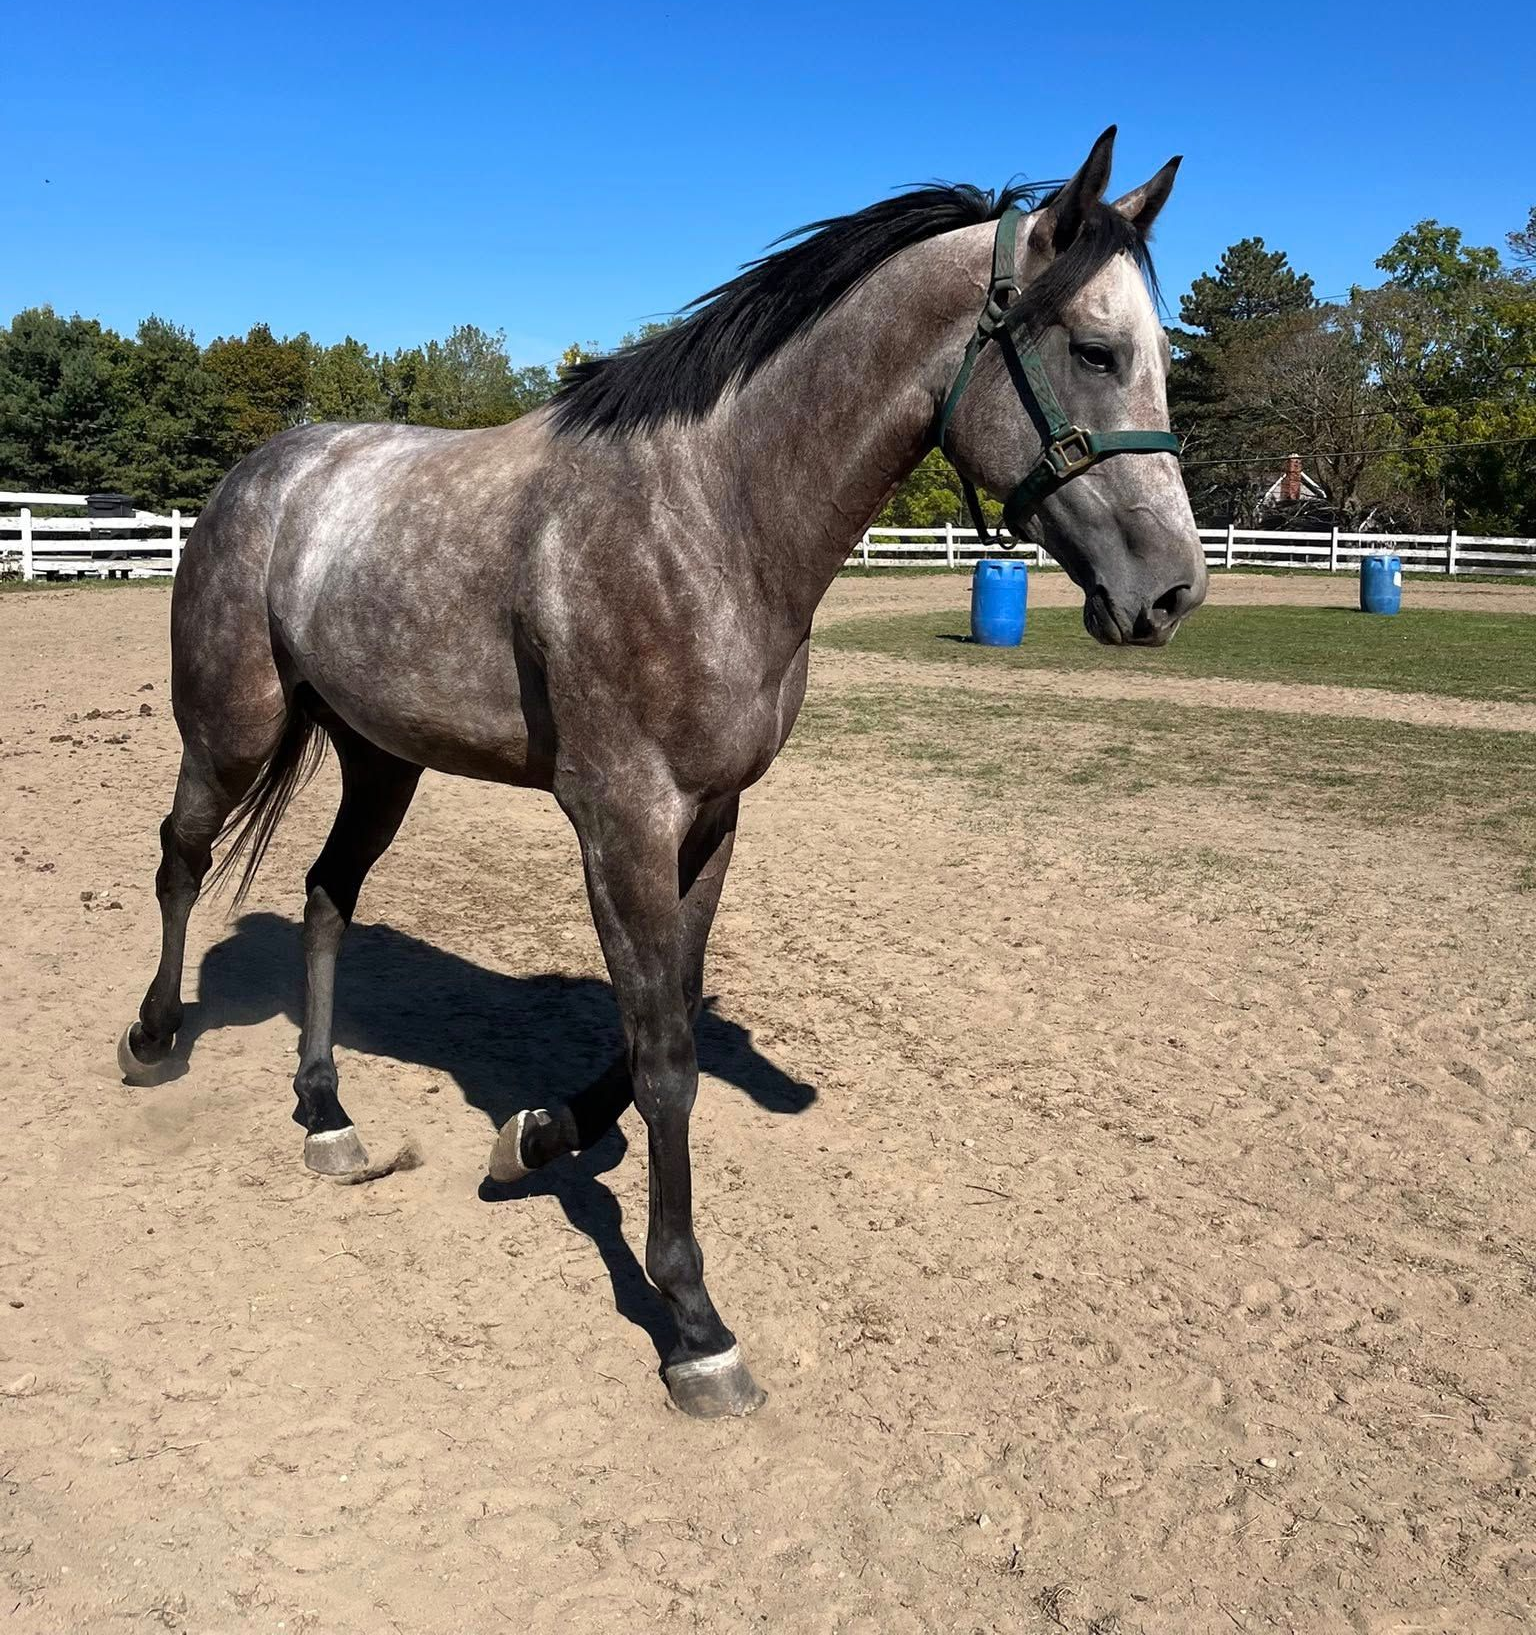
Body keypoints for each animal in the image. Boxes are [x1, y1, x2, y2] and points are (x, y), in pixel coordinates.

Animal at [117, 126, 1206, 1417]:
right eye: (1094, 350)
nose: (1174, 592)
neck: (709, 519)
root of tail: (268, 471)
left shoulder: (710, 821)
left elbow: (662, 1022)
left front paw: (537, 1136)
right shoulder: (621, 821)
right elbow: (667, 1064)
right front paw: (693, 1322)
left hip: (384, 761)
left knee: (327, 897)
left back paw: (328, 1113)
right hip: (229, 731)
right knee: (182, 860)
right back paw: (152, 1040)